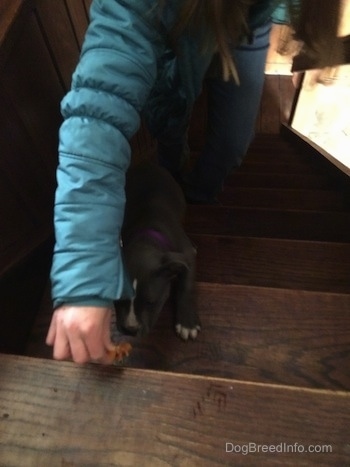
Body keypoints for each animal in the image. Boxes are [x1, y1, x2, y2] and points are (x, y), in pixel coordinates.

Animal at [116, 161, 201, 340]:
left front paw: (187, 323)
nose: (130, 329)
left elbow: (186, 286)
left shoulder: (186, 256)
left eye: (151, 303)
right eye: (117, 300)